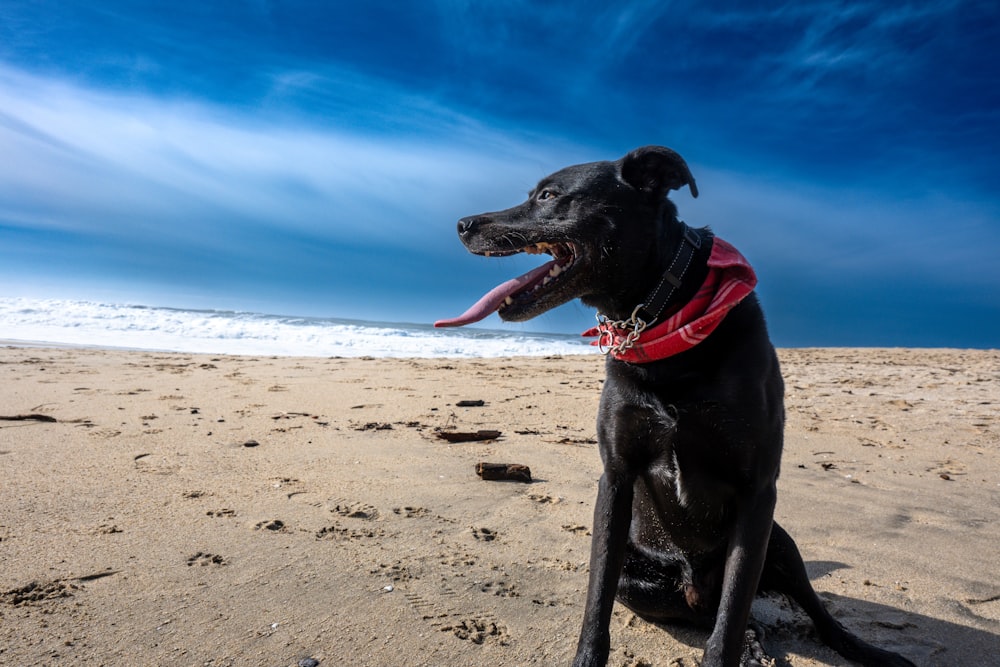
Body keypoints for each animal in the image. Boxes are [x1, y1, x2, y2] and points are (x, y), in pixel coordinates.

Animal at [436, 146, 916, 667]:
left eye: (548, 195)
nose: (462, 224)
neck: (661, 320)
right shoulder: (616, 477)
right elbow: (598, 597)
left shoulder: (758, 492)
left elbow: (732, 613)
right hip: (641, 578)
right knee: (708, 613)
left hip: (780, 541)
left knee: (801, 612)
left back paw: (867, 651)